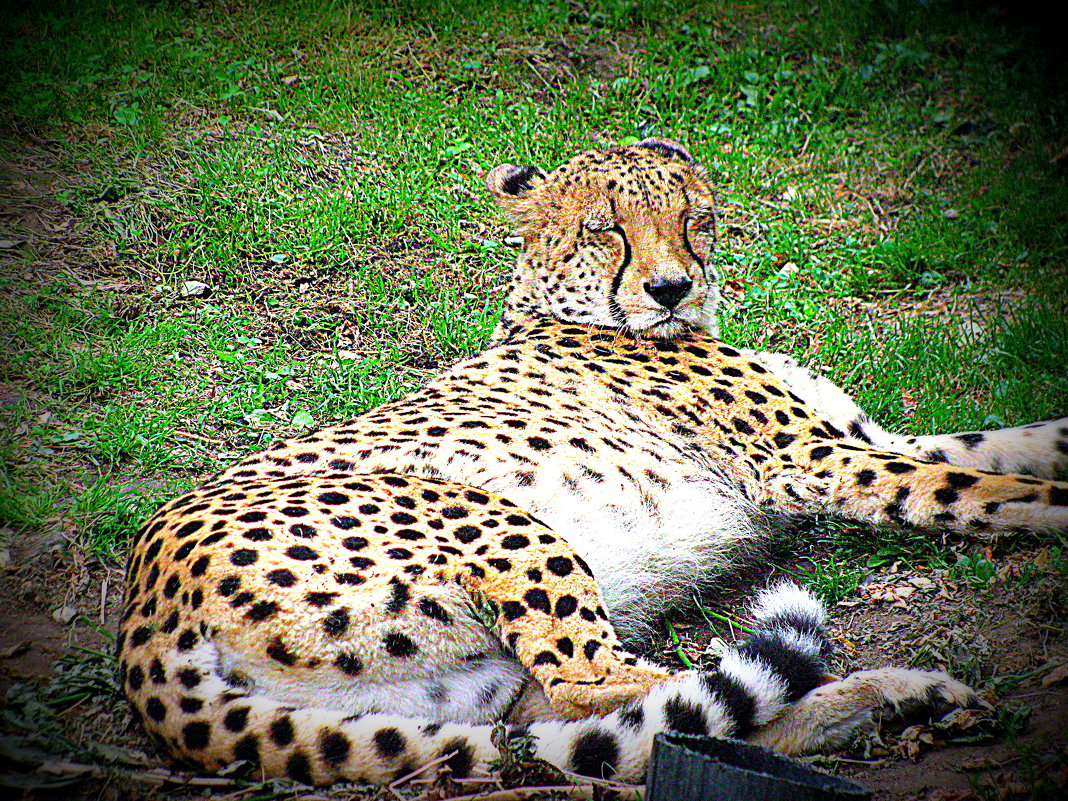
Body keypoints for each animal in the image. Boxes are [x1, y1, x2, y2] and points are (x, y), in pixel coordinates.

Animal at [121, 140, 1063, 786]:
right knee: (612, 686)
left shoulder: (865, 440)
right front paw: (1049, 507)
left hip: (461, 688)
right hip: (489, 515)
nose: (670, 288)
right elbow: (978, 487)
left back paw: (895, 697)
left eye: (693, 216)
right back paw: (875, 690)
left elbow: (1005, 445)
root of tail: (143, 609)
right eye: (607, 230)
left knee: (625, 730)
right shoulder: (816, 459)